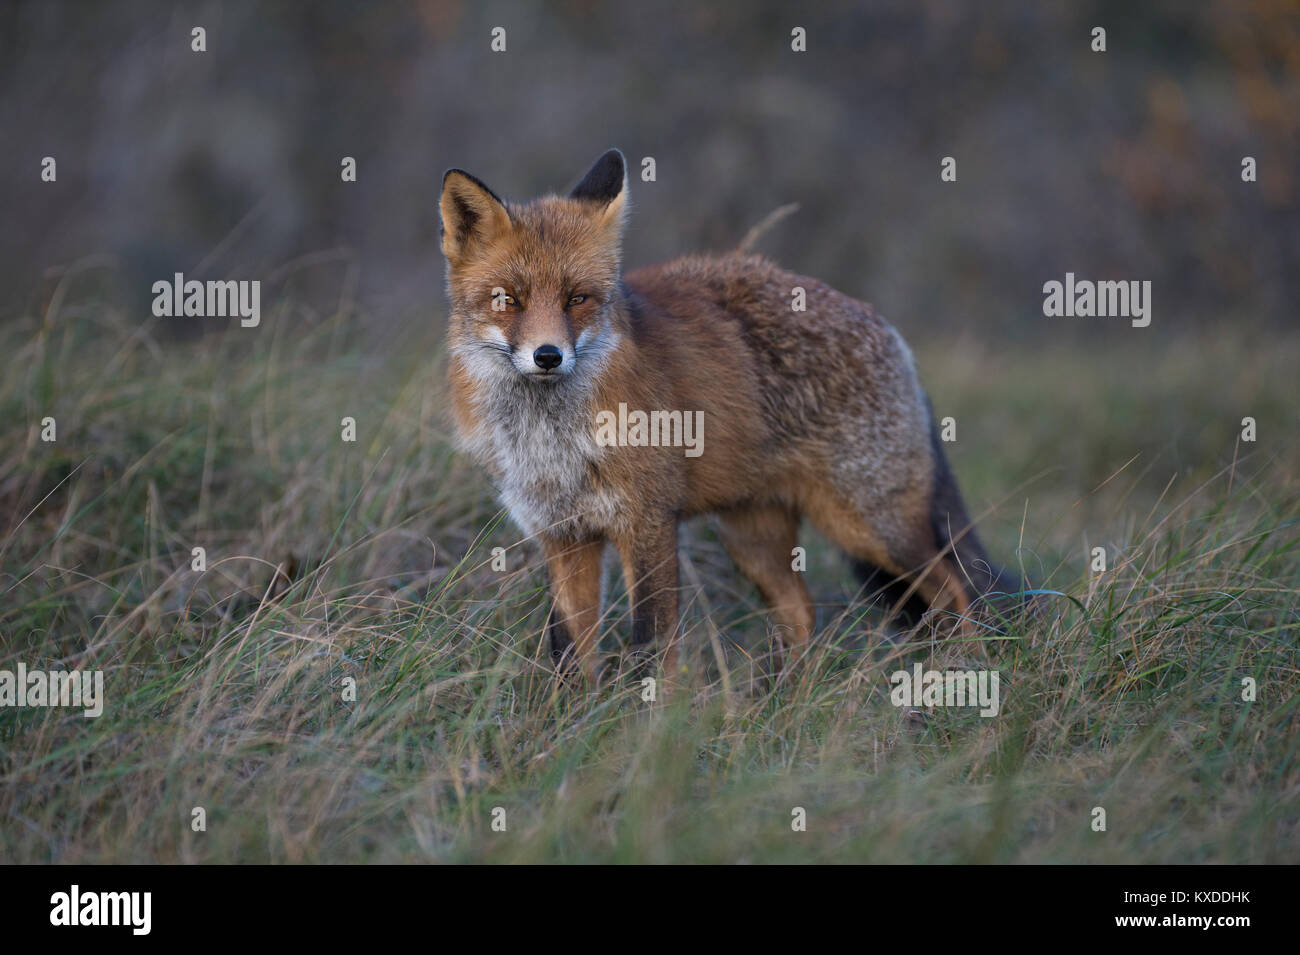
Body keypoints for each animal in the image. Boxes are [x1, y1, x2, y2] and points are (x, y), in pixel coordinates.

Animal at [439, 149, 1013, 686]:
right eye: (507, 300)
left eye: (577, 298)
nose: (548, 356)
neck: (550, 441)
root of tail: (887, 328)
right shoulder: (563, 536)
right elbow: (566, 652)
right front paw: (569, 717)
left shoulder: (648, 523)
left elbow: (650, 644)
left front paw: (644, 720)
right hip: (753, 537)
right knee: (802, 612)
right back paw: (785, 700)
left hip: (873, 529)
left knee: (961, 592)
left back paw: (965, 674)